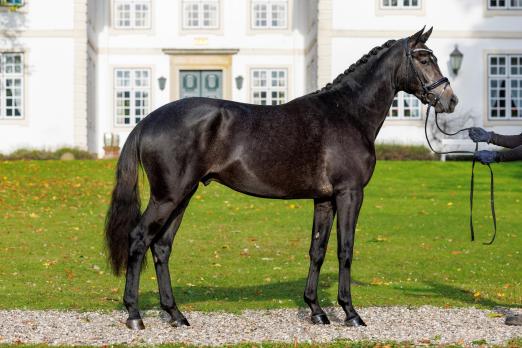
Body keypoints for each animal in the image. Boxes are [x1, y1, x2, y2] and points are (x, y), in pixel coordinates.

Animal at [104, 27, 456, 328]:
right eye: (424, 58)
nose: (450, 100)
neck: (347, 113)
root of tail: (147, 120)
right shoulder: (350, 193)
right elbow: (345, 250)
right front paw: (350, 313)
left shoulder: (324, 199)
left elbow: (317, 250)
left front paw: (316, 310)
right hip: (168, 196)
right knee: (139, 239)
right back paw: (134, 315)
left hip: (182, 196)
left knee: (162, 247)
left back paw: (175, 314)